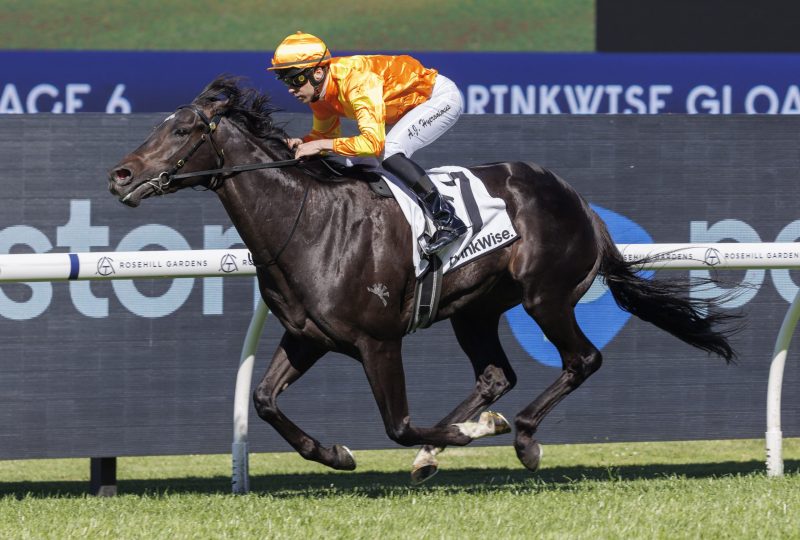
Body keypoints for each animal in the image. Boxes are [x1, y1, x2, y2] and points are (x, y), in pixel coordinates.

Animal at [108, 76, 738, 483]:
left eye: (183, 130)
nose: (121, 175)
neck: (308, 223)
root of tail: (579, 202)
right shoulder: (308, 336)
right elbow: (263, 401)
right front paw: (334, 453)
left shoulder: (378, 341)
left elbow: (400, 425)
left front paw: (460, 437)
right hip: (475, 309)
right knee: (495, 375)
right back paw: (462, 435)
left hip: (546, 296)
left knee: (581, 360)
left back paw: (519, 436)